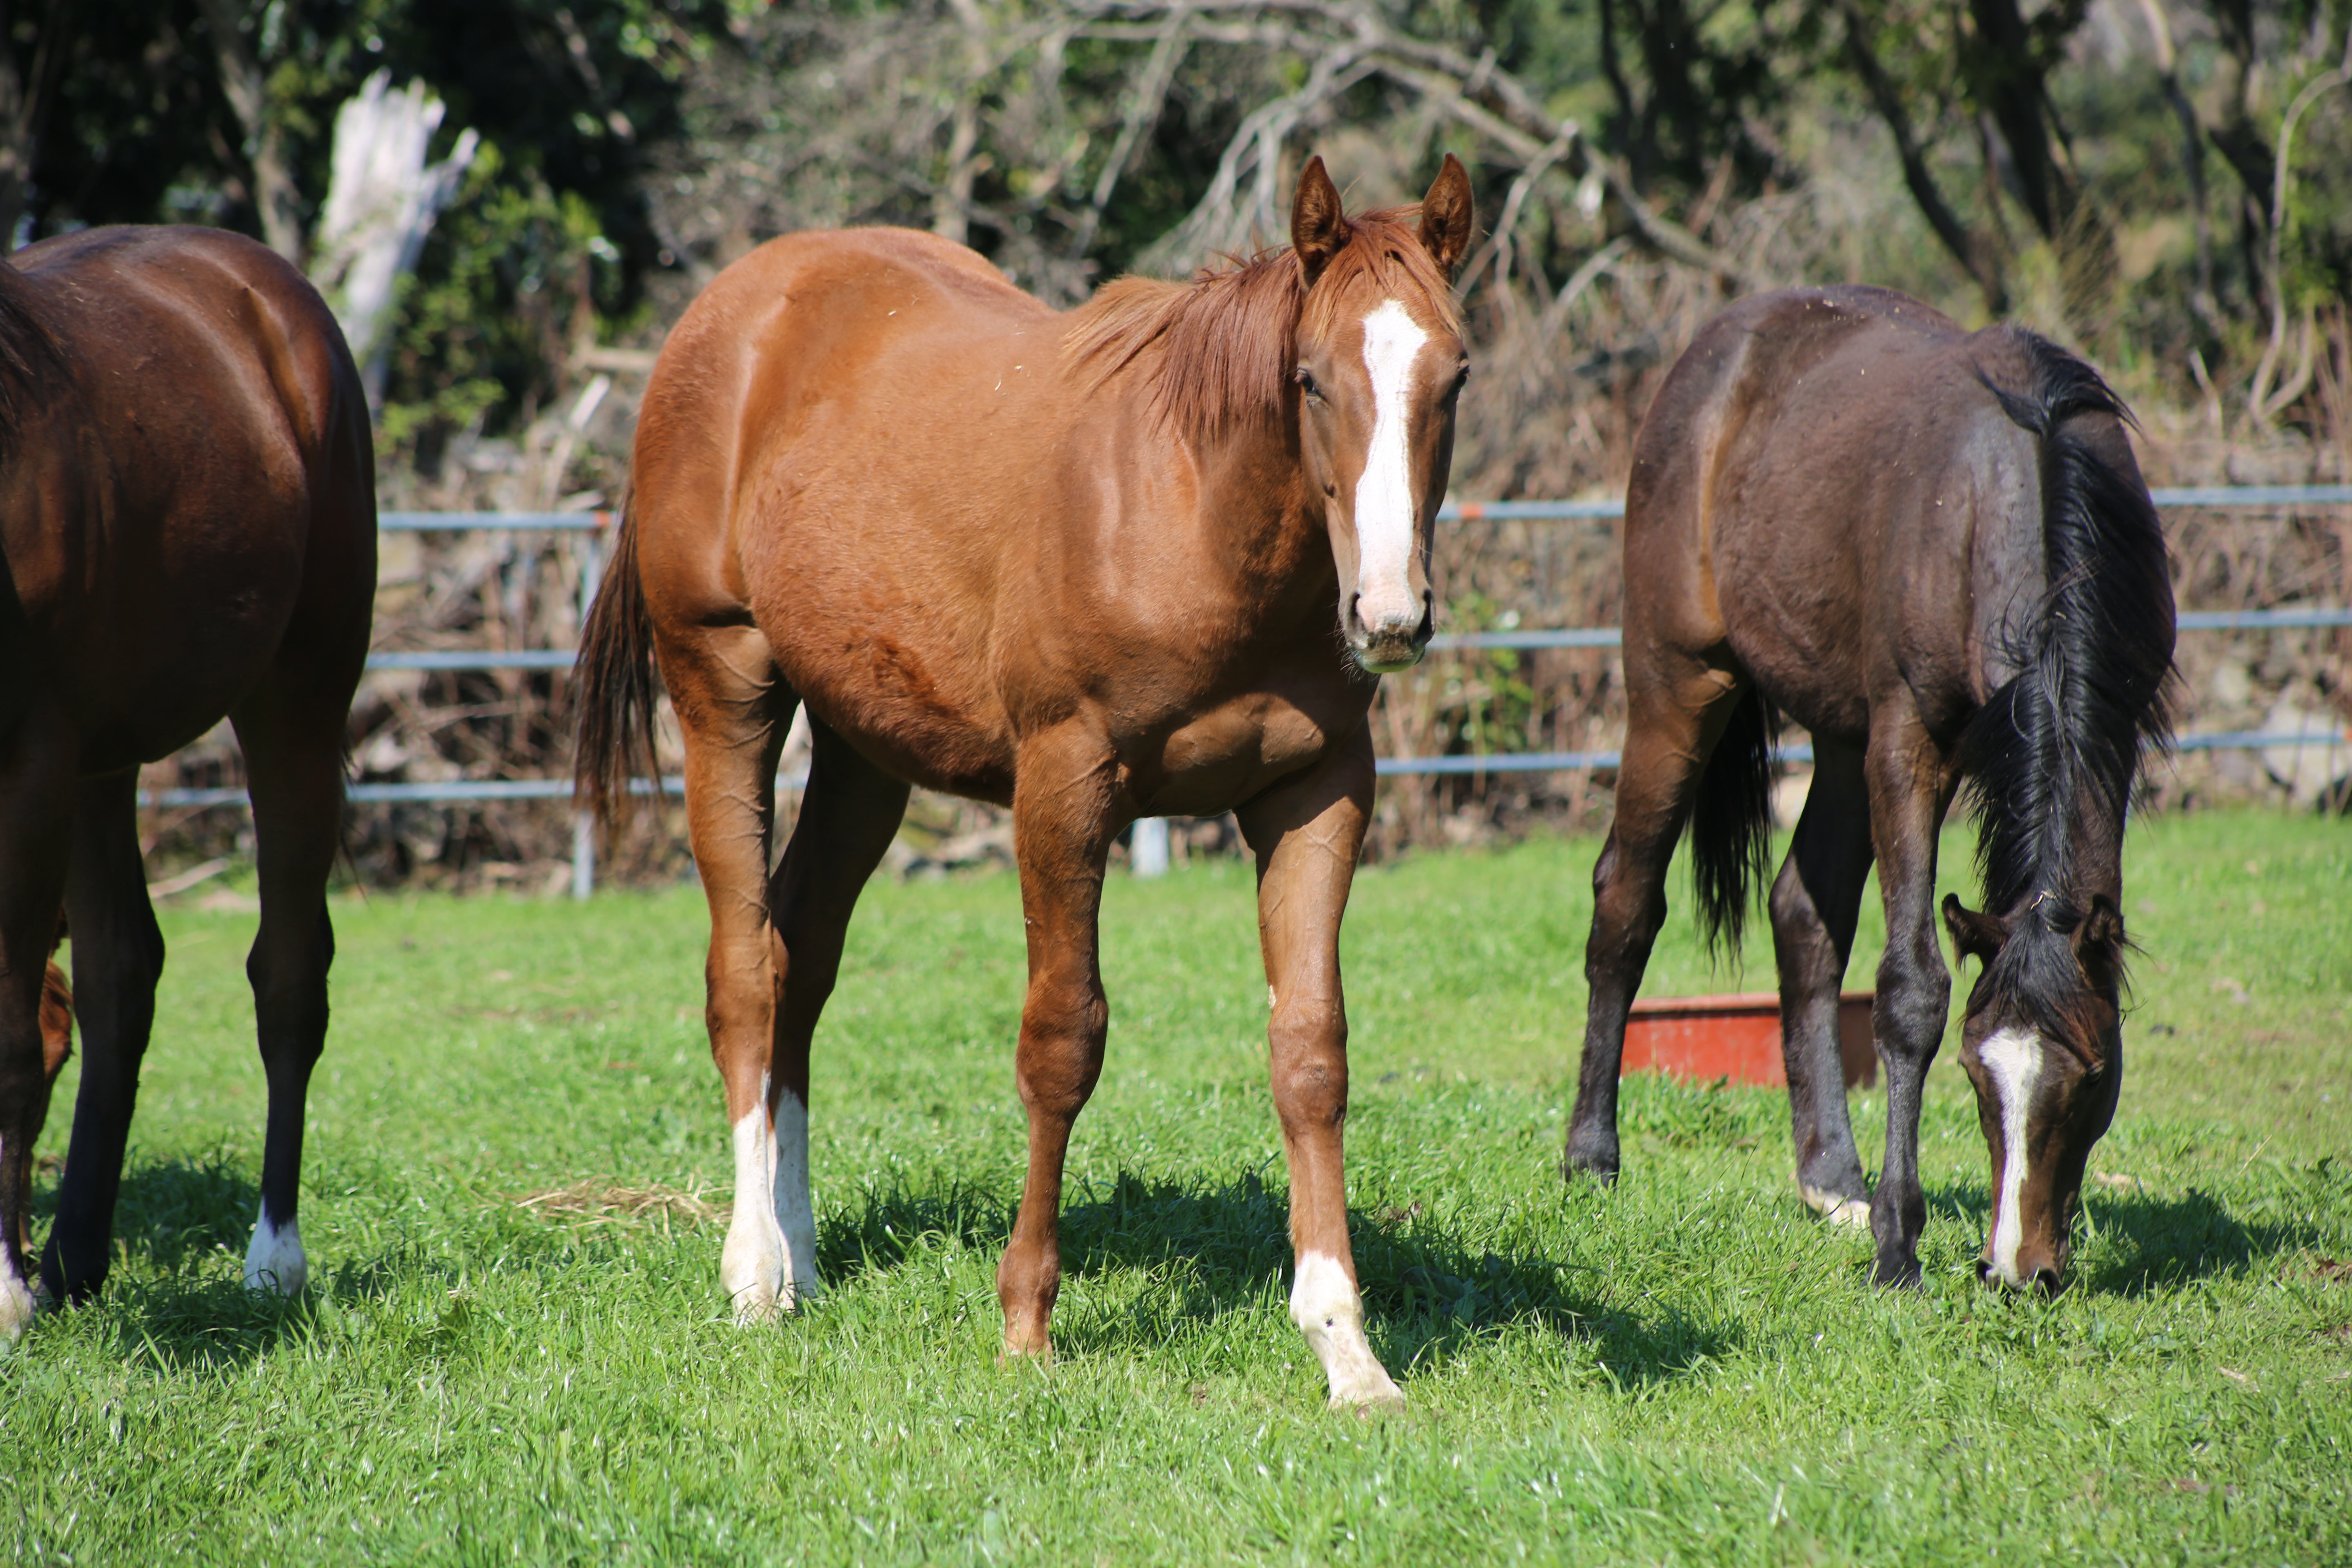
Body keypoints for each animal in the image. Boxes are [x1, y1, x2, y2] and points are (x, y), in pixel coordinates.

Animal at [0, 227, 374, 1335]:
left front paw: (5, 1292)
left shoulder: (26, 765)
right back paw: (73, 1260)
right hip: (97, 759)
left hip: (297, 695)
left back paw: (273, 1257)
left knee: (288, 974)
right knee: (121, 975)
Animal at [578, 156, 1468, 1410]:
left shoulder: (1317, 793)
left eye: (1455, 375)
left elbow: (1310, 1052)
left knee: (801, 958)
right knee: (745, 974)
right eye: (1310, 380)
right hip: (725, 690)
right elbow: (1062, 1042)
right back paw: (754, 1272)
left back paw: (802, 1258)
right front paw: (1026, 1322)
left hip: (863, 750)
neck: (1193, 511)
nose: (1389, 615)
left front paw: (1346, 1348)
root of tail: (727, 313)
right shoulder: (1065, 783)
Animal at [1561, 288, 2164, 1297]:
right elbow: (1910, 991)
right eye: (1974, 1074)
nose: (2017, 1270)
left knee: (1802, 916)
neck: (2016, 491)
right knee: (1626, 902)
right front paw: (1897, 1245)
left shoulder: (2109, 747)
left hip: (1839, 734)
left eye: (2088, 1076)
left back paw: (1831, 1178)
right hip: (1679, 686)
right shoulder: (1907, 743)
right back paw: (1591, 1157)